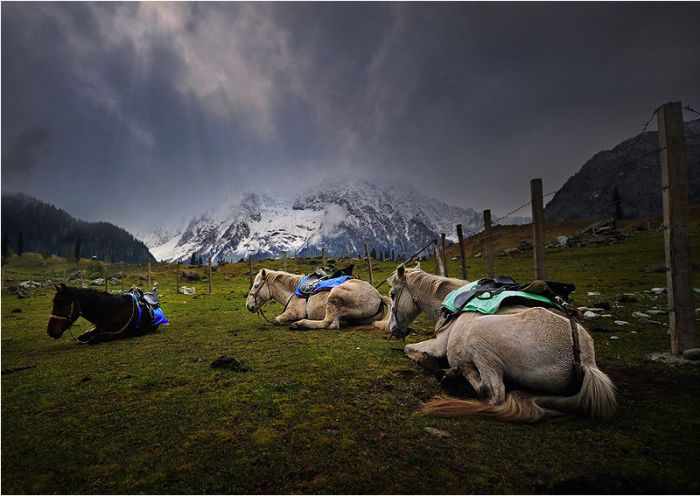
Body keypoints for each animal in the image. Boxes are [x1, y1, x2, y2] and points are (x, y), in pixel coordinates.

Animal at [246, 268, 392, 330]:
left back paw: (299, 324)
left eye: (256, 286)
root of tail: (378, 296)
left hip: (334, 295)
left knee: (329, 323)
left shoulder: (295, 312)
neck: (293, 292)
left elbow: (277, 319)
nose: (248, 306)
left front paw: (289, 322)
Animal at [388, 264, 616, 422]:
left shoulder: (439, 345)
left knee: (493, 393)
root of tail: (585, 360)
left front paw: (428, 361)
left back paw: (456, 373)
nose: (392, 329)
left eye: (392, 293)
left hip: (480, 340)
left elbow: (409, 348)